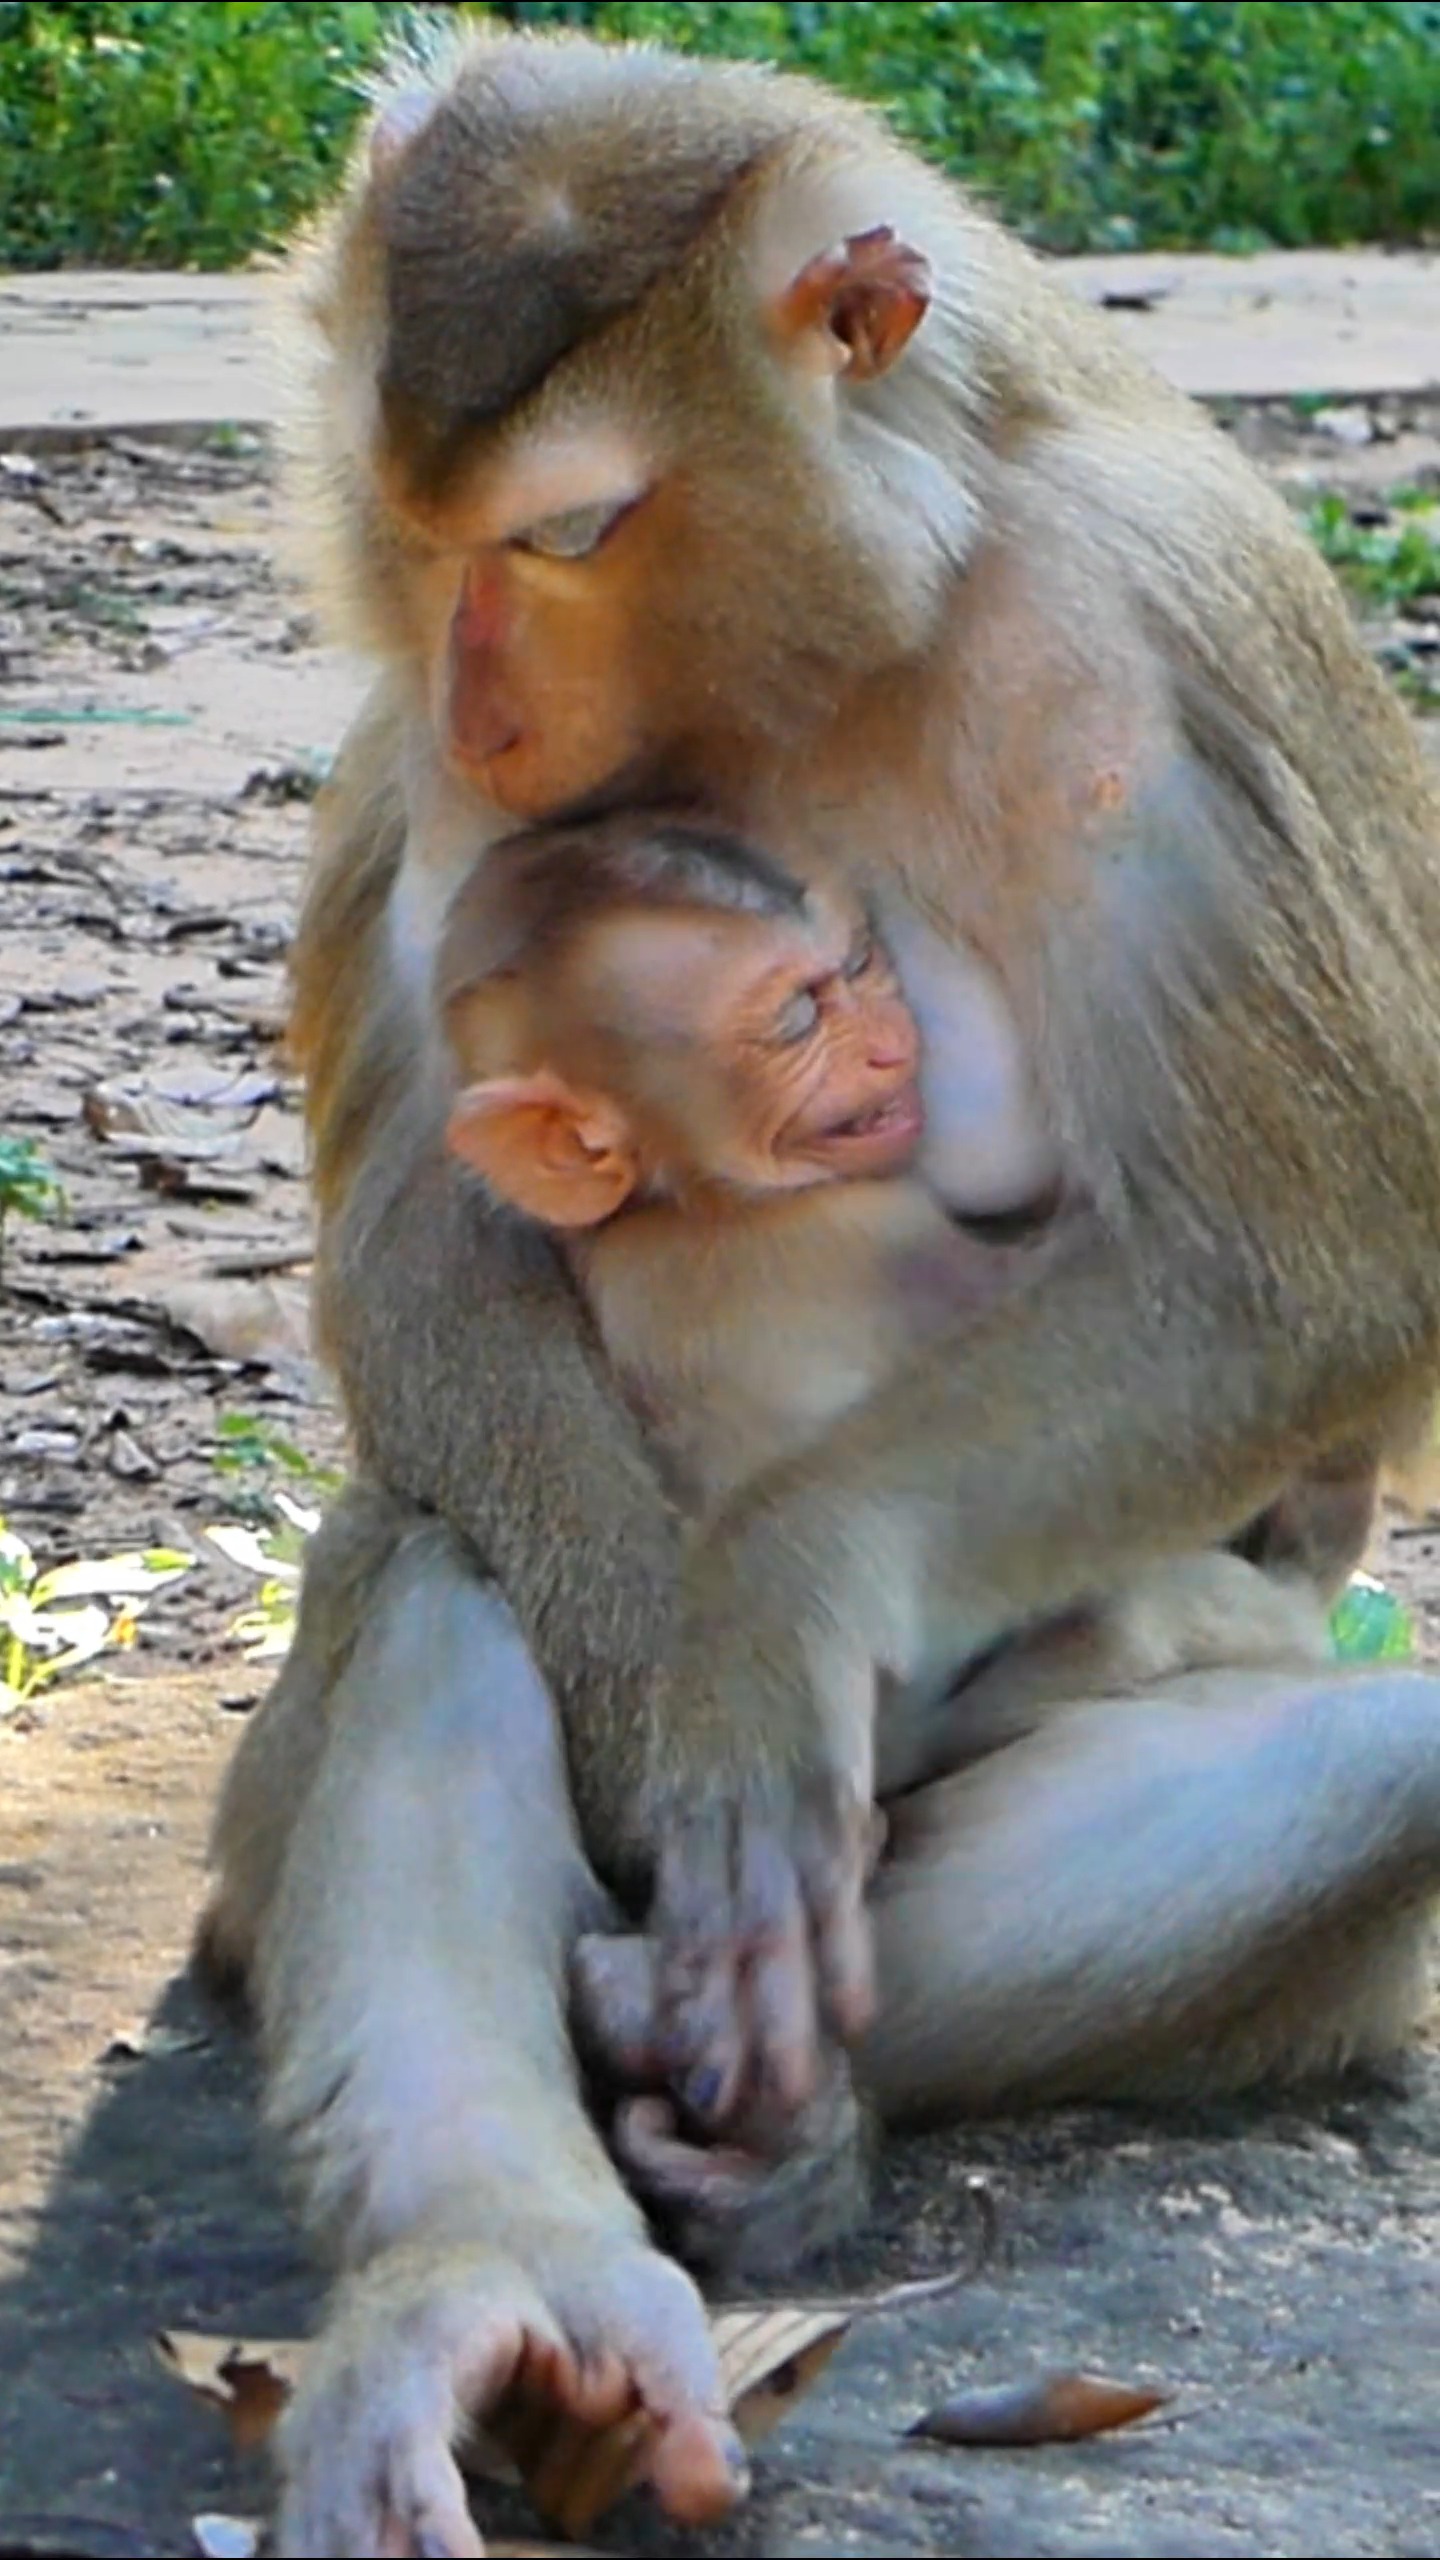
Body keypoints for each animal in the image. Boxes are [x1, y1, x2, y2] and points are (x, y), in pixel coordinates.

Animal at [203, 25, 1440, 2553]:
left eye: (571, 534)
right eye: (420, 529)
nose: (480, 708)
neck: (864, 605)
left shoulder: (1155, 631)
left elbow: (1309, 1250)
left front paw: (776, 1609)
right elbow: (424, 1239)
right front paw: (662, 1736)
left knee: (1382, 1739)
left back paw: (777, 2125)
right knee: (428, 1565)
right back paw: (511, 2286)